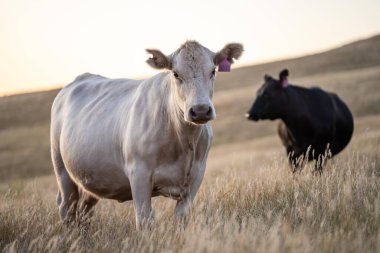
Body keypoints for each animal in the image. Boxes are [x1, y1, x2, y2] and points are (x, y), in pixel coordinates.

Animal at [51, 40, 243, 228]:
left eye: (213, 71)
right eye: (175, 74)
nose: (200, 110)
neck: (183, 141)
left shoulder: (196, 175)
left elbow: (181, 218)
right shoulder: (139, 173)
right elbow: (144, 220)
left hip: (89, 179)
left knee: (84, 210)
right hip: (62, 171)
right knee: (66, 207)